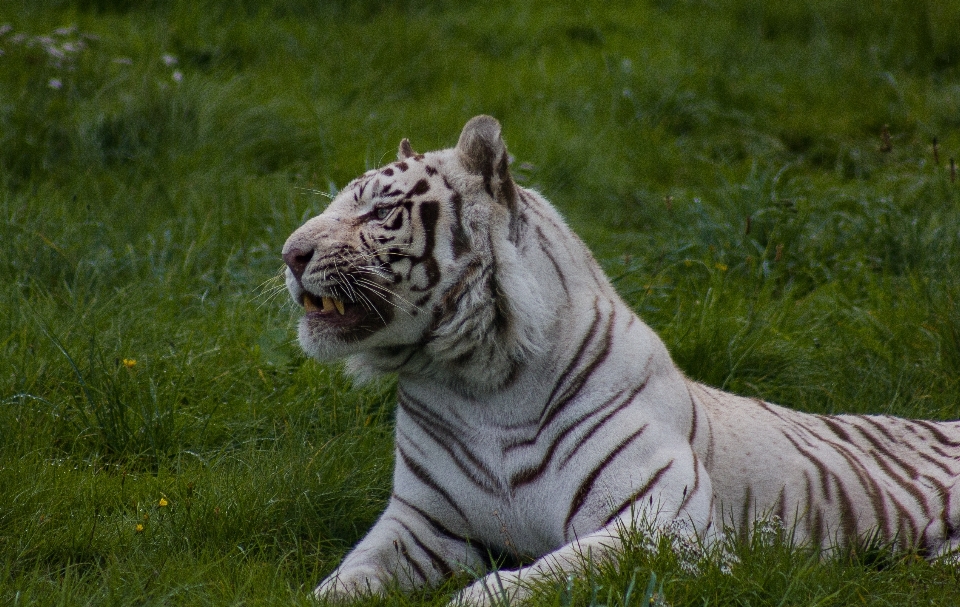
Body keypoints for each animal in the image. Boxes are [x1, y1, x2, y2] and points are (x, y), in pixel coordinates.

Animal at [282, 115, 960, 604]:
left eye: (379, 211)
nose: (290, 253)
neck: (476, 384)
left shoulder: (662, 518)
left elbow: (533, 580)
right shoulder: (424, 524)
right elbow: (347, 577)